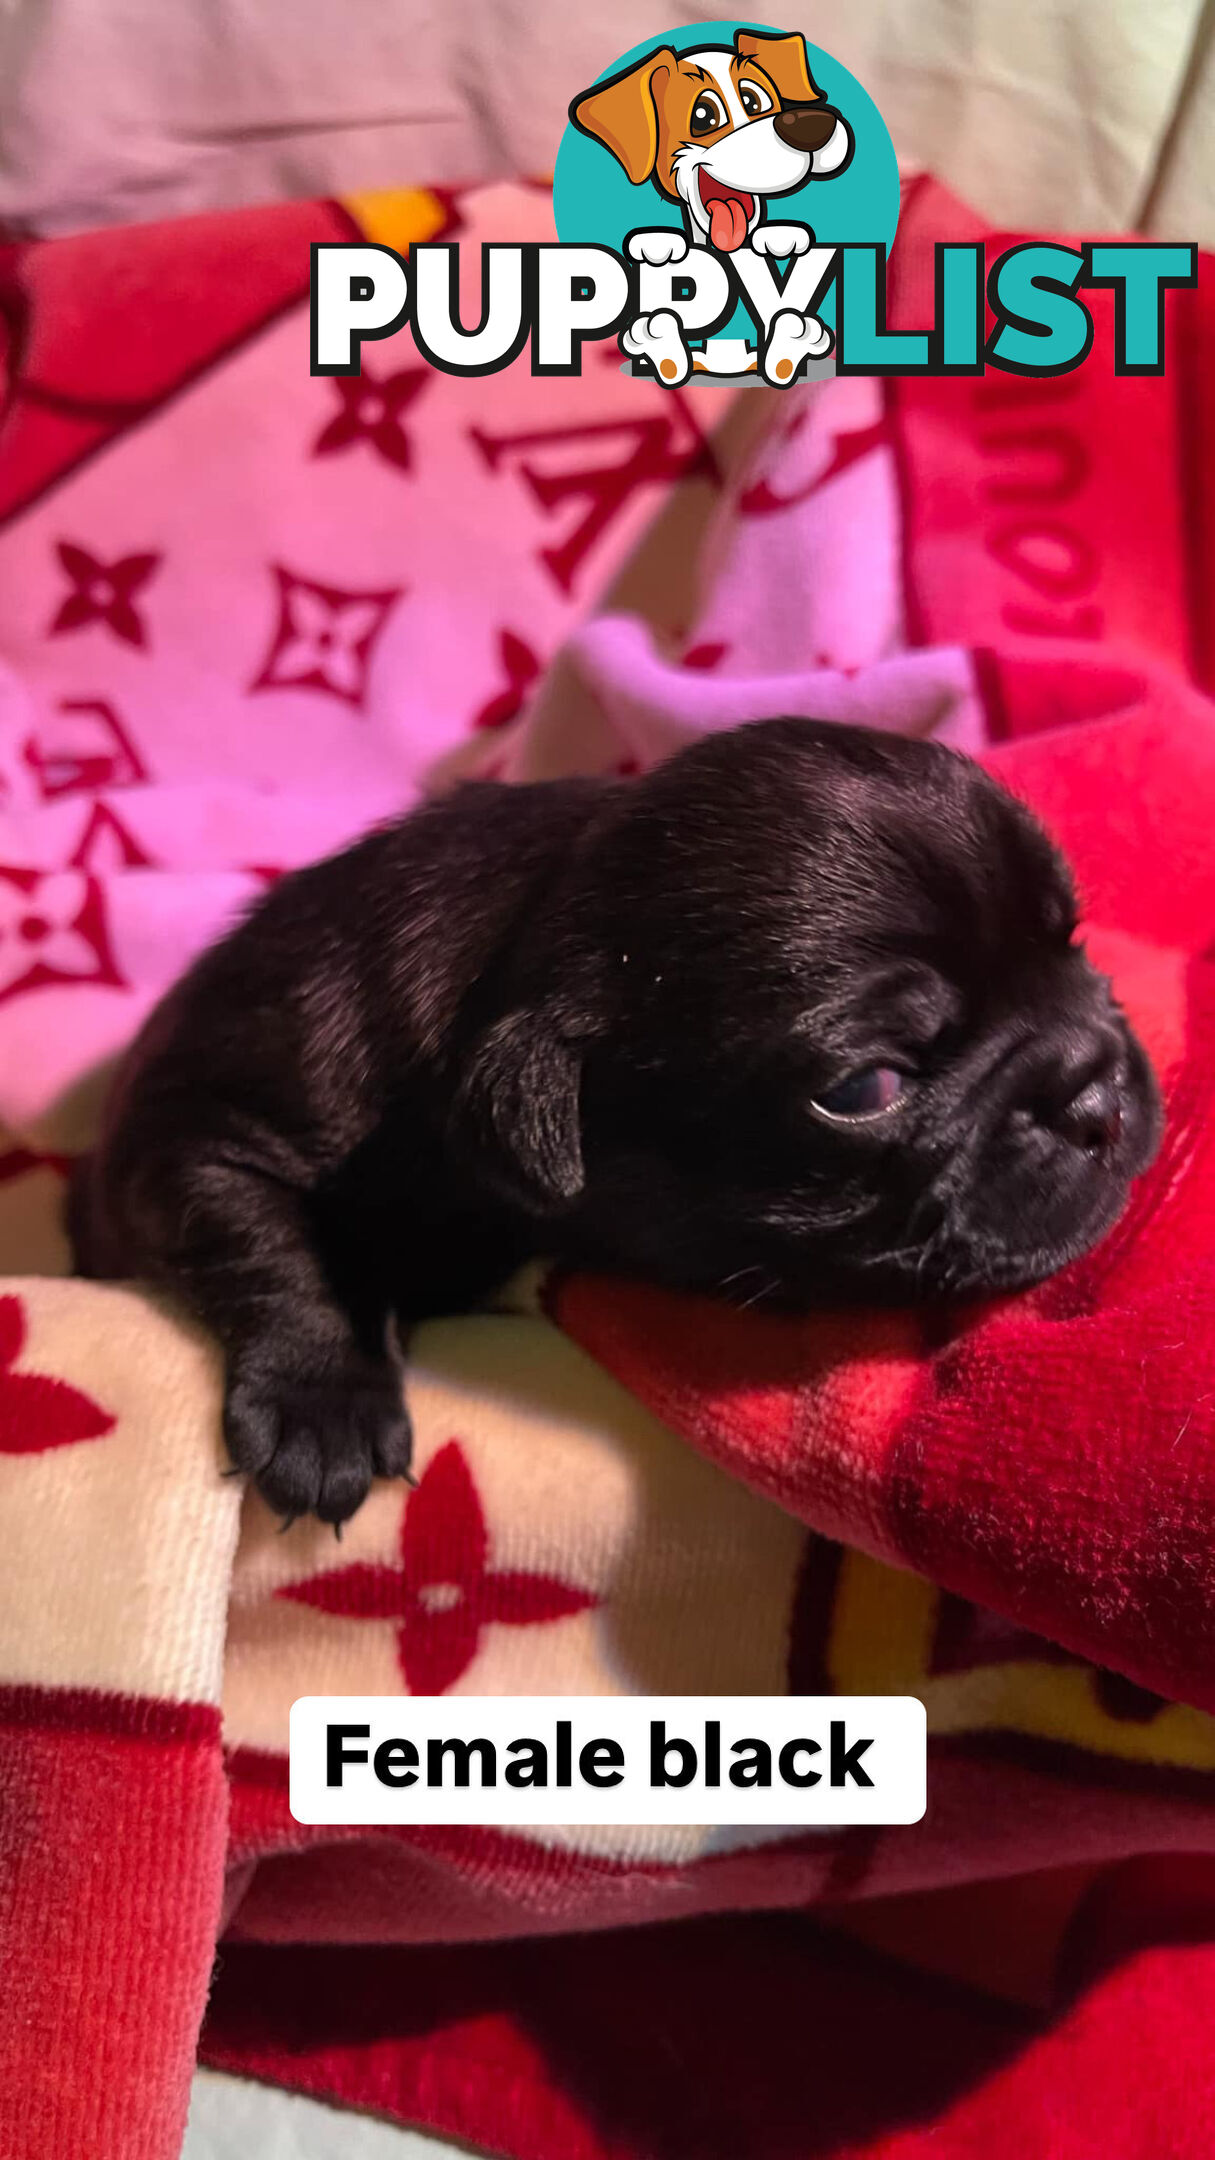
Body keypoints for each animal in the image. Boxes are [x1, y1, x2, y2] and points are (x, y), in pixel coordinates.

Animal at [70, 725, 1158, 1520]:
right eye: (865, 1089)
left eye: (1070, 940)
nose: (1094, 1092)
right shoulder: (200, 1136)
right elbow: (280, 1247)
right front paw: (320, 1407)